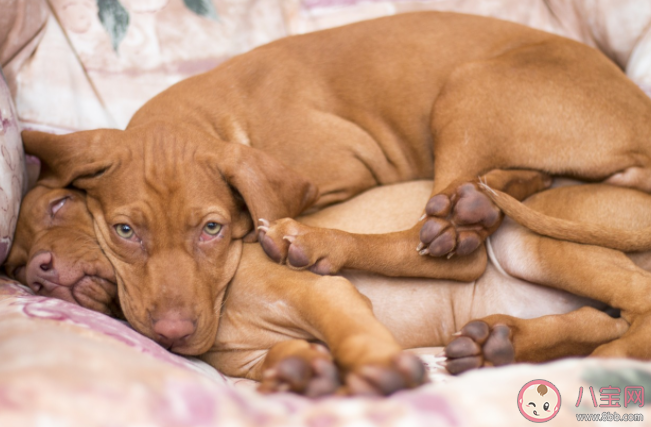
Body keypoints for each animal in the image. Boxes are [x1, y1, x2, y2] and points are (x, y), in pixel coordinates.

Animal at [17, 13, 651, 368]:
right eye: (124, 231)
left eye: (61, 205)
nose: (40, 272)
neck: (217, 117)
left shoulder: (341, 177)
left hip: (468, 89)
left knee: (450, 250)